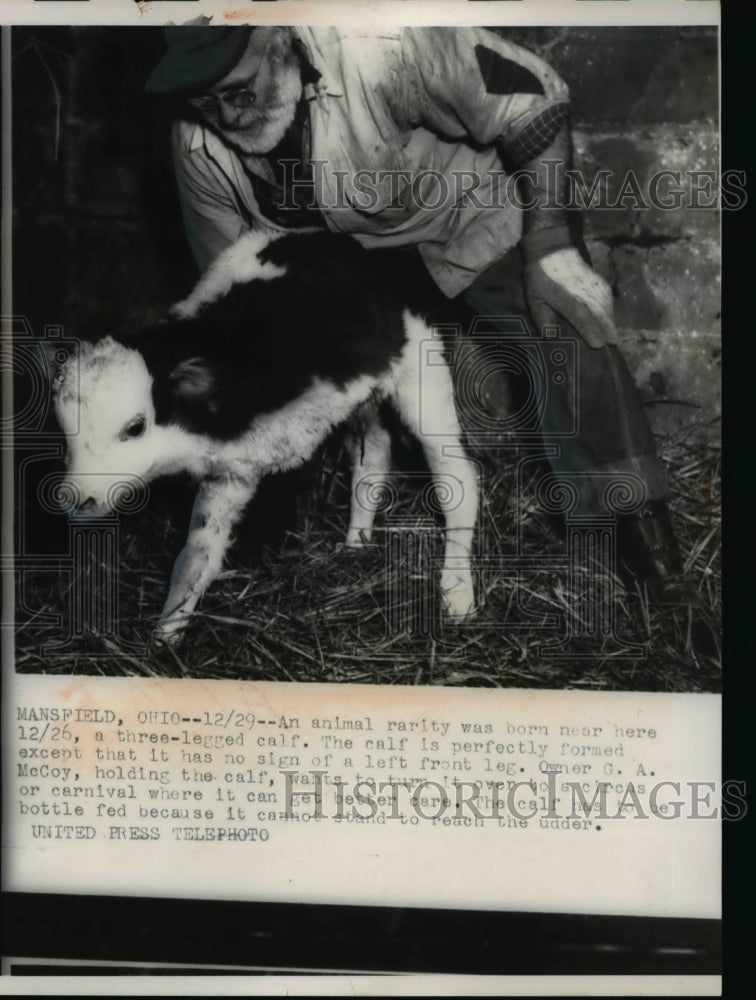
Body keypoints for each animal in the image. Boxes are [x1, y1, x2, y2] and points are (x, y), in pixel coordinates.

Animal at [53, 230, 478, 640]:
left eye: (135, 427)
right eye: (64, 432)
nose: (78, 498)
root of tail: (374, 254)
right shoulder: (230, 472)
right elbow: (195, 560)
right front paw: (166, 638)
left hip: (421, 373)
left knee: (456, 472)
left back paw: (457, 591)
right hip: (365, 397)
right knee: (372, 456)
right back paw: (356, 541)